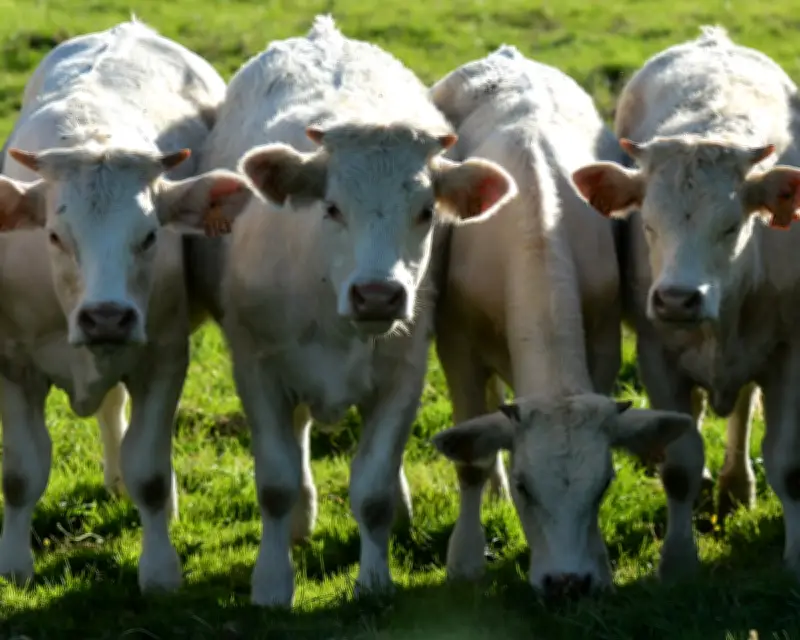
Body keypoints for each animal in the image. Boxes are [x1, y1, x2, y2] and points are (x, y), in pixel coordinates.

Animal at [0, 20, 254, 592]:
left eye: (150, 235)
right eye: (55, 236)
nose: (107, 317)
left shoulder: (163, 358)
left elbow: (151, 474)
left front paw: (159, 568)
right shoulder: (15, 365)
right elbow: (22, 475)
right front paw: (14, 565)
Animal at [189, 15, 517, 607]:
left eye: (426, 211)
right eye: (332, 207)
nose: (378, 294)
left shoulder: (403, 375)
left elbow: (373, 490)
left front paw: (375, 579)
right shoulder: (257, 368)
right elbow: (275, 483)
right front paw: (271, 580)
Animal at [426, 46, 694, 596]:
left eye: (605, 484)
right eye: (527, 486)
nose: (567, 582)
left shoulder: (604, 341)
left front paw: (601, 566)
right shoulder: (456, 346)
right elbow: (470, 460)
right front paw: (465, 559)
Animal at [571, 26, 800, 580]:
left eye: (731, 226)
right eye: (648, 224)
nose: (677, 299)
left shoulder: (790, 353)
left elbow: (787, 463)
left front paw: (795, 558)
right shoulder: (658, 357)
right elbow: (680, 465)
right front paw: (676, 559)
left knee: (742, 407)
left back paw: (736, 485)